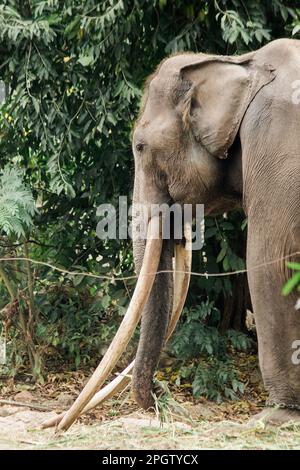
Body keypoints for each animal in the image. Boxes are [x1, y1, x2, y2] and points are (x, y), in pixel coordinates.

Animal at [131, 38, 300, 424]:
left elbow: (269, 259)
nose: (163, 393)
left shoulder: (274, 144)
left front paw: (276, 417)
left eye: (139, 146)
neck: (239, 63)